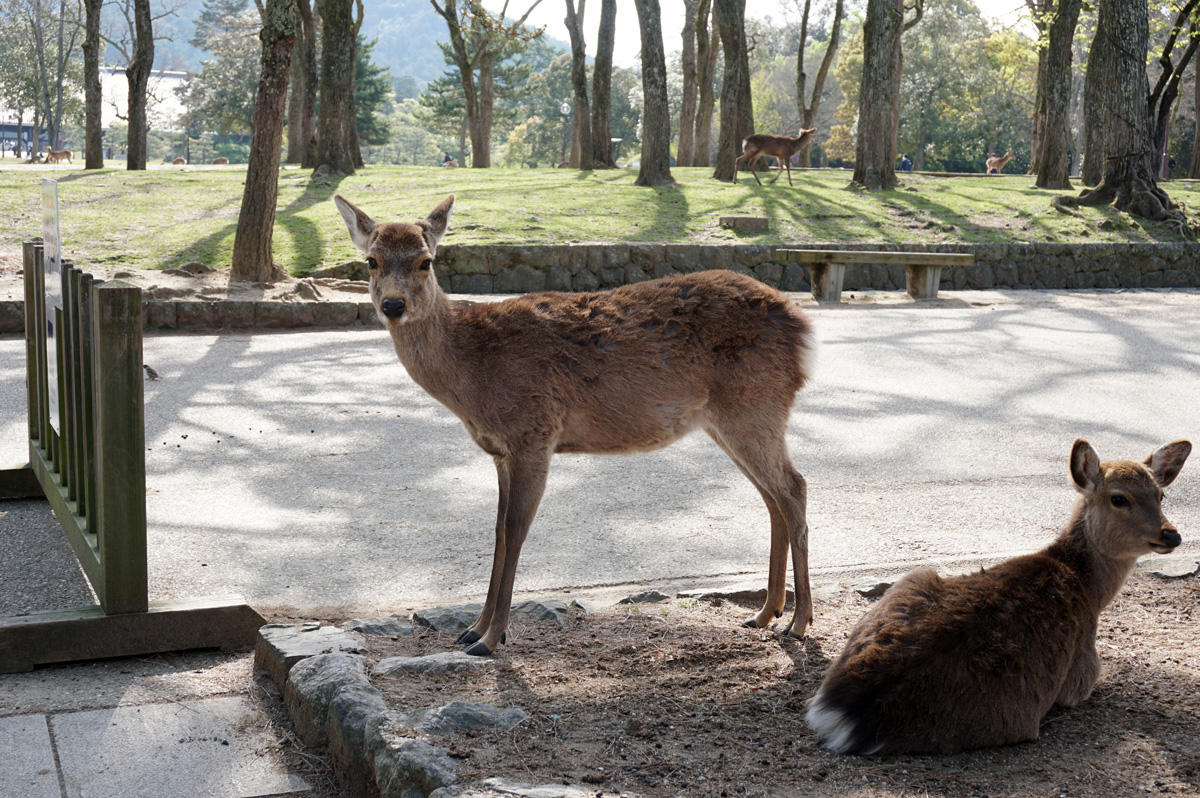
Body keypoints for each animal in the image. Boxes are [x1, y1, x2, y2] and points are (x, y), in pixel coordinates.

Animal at [333, 194, 817, 657]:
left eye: (425, 261)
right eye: (371, 261)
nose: (393, 305)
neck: (473, 376)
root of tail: (804, 328)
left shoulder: (534, 432)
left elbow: (515, 530)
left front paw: (492, 638)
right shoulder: (500, 451)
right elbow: (496, 529)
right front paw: (472, 628)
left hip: (755, 408)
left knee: (794, 488)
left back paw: (798, 621)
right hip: (732, 419)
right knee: (772, 497)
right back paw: (765, 613)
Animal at [807, 438, 1191, 756]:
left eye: (1160, 495)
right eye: (1118, 498)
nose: (1171, 534)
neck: (1089, 590)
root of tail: (846, 715)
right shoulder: (1084, 672)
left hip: (912, 580)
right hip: (1013, 716)